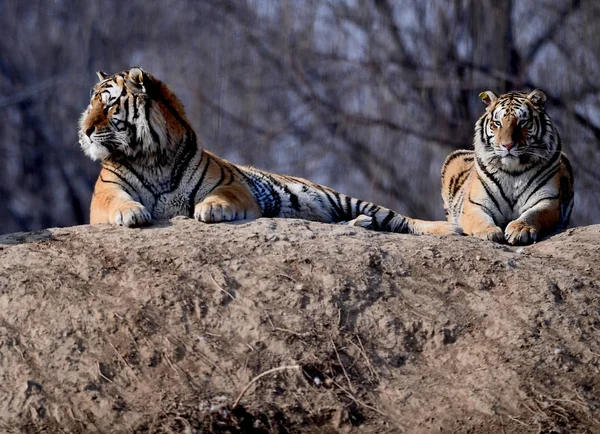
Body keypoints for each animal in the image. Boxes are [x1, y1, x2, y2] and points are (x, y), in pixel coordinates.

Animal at [76, 67, 460, 236]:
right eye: (91, 102)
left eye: (109, 104)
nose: (85, 130)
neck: (153, 157)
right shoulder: (106, 193)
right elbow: (119, 202)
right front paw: (132, 214)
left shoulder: (232, 185)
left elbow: (221, 196)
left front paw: (210, 210)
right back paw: (359, 224)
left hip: (341, 198)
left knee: (402, 219)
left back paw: (447, 229)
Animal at [442, 89, 576, 244]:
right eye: (497, 123)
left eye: (522, 122)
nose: (507, 145)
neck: (513, 170)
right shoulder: (476, 204)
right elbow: (480, 219)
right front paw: (488, 231)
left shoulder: (547, 201)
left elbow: (533, 215)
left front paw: (521, 229)